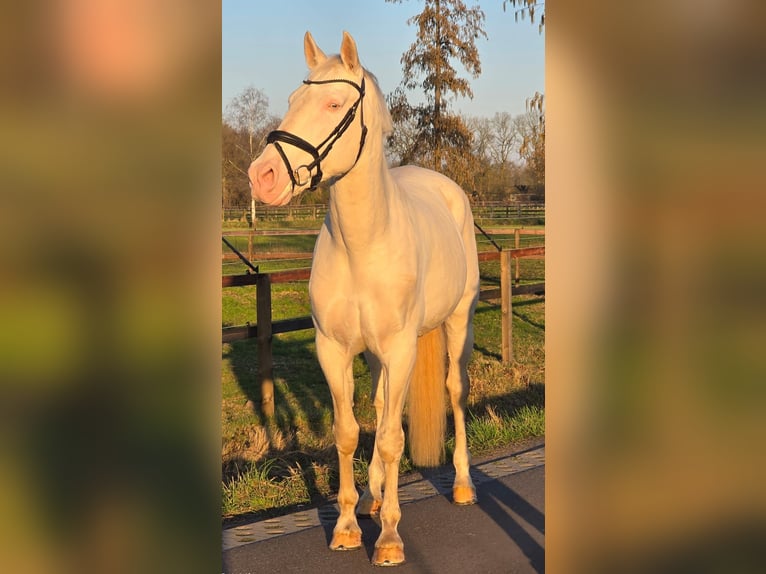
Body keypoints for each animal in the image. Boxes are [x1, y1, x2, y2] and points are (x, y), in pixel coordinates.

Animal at [249, 31, 480, 567]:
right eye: (291, 100)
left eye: (334, 104)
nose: (262, 176)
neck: (362, 245)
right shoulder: (333, 350)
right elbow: (349, 431)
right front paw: (349, 525)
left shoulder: (401, 349)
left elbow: (394, 438)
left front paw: (391, 537)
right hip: (375, 354)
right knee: (378, 403)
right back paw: (374, 497)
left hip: (457, 323)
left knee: (455, 393)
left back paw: (461, 485)